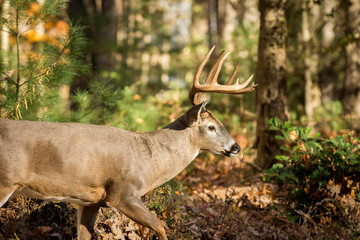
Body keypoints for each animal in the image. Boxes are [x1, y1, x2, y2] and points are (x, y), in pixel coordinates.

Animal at [0, 46, 256, 239]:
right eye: (211, 127)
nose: (236, 147)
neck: (150, 159)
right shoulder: (123, 192)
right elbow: (161, 226)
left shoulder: (91, 200)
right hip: (6, 181)